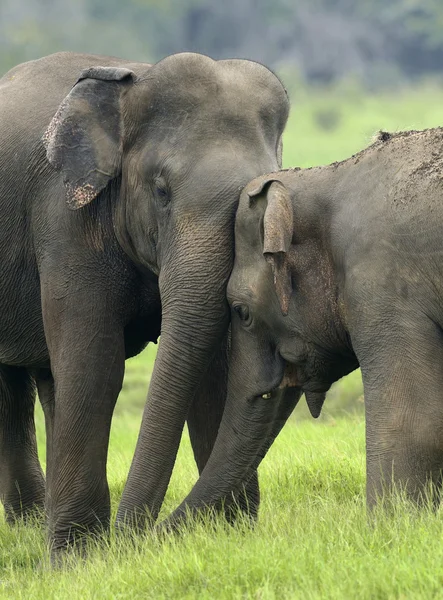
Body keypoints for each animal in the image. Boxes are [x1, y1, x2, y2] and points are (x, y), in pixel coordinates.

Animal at [164, 129, 443, 524]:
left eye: (241, 311)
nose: (139, 532)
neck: (326, 175)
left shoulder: (381, 286)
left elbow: (413, 420)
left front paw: (388, 526)